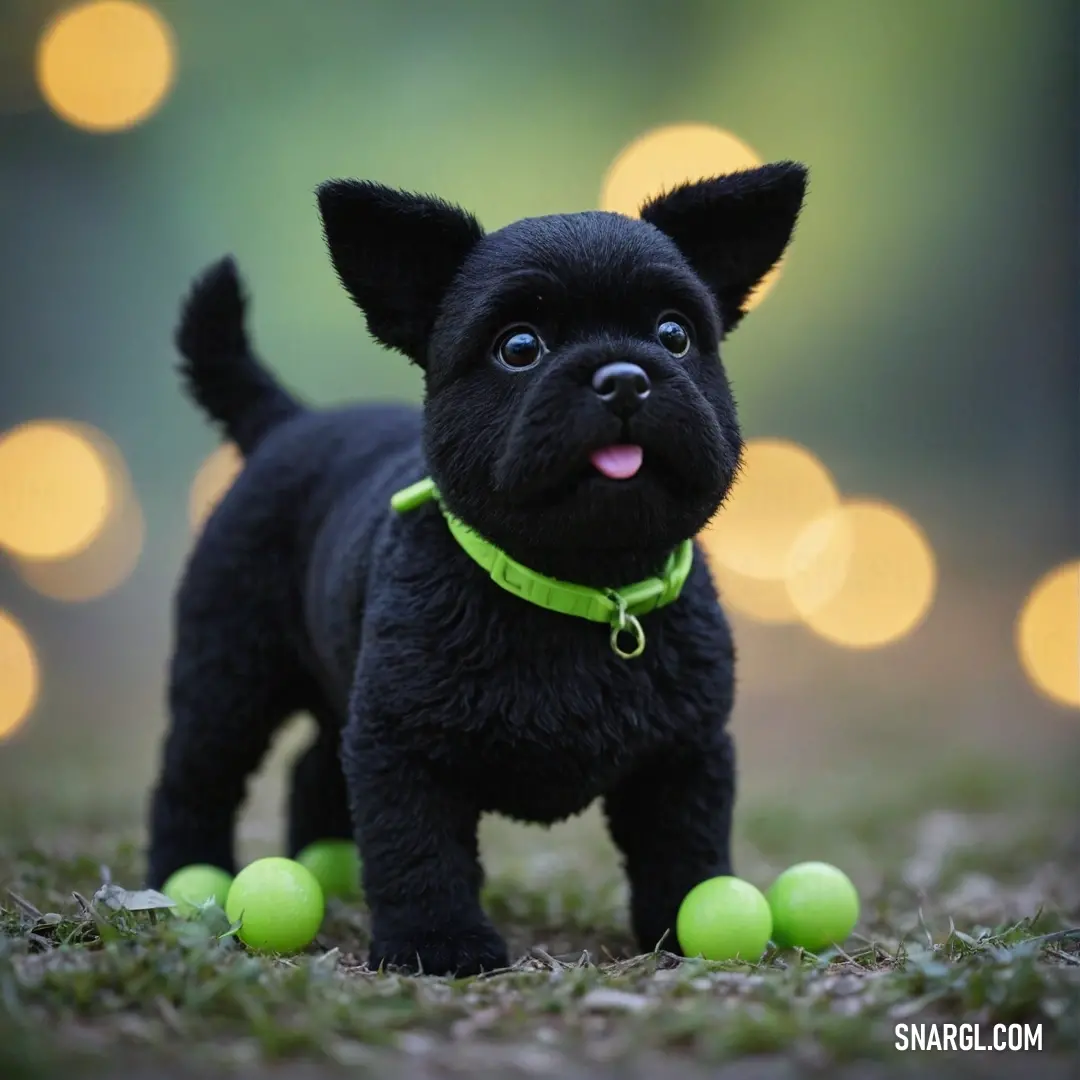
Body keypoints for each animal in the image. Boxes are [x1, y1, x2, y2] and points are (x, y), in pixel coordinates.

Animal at [145, 162, 803, 980]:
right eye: (518, 346)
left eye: (675, 335)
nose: (624, 378)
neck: (577, 591)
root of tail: (286, 421)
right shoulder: (404, 750)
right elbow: (418, 852)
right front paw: (438, 941)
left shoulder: (685, 755)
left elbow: (684, 851)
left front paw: (685, 928)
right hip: (228, 683)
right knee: (194, 783)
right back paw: (180, 881)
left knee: (313, 768)